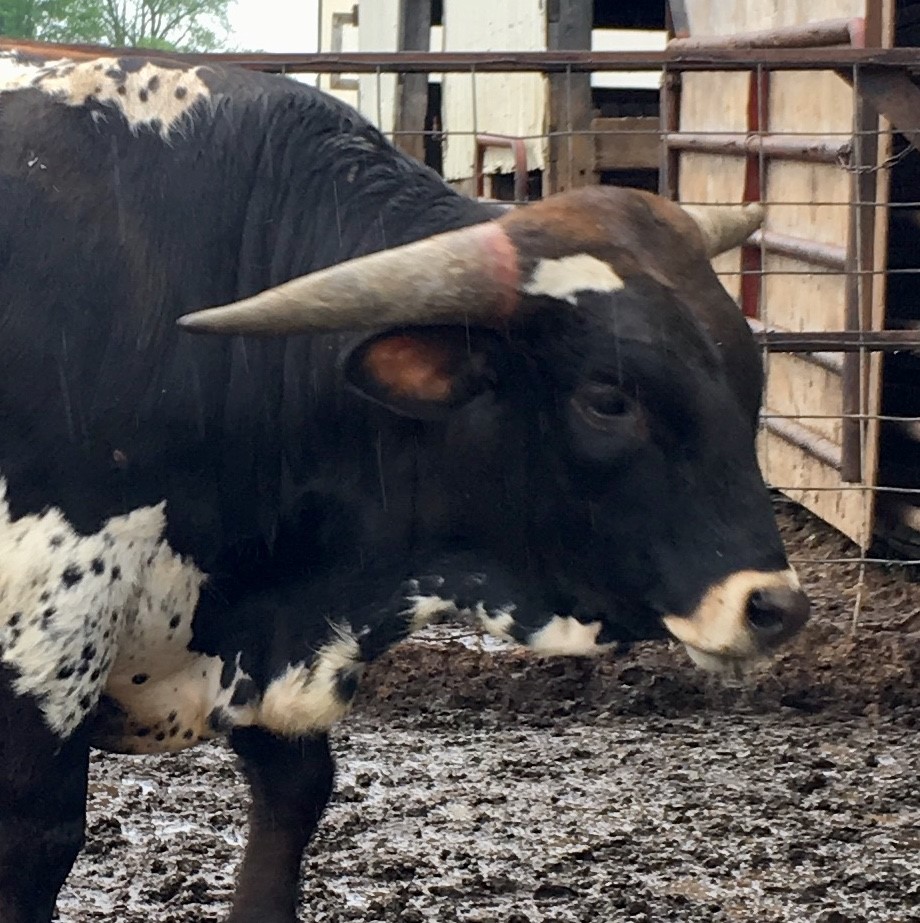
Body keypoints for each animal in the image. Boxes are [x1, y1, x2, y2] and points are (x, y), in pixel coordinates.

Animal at [0, 49, 810, 923]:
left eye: (750, 375)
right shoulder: (40, 661)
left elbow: (297, 790)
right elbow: (39, 838)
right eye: (608, 397)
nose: (772, 605)